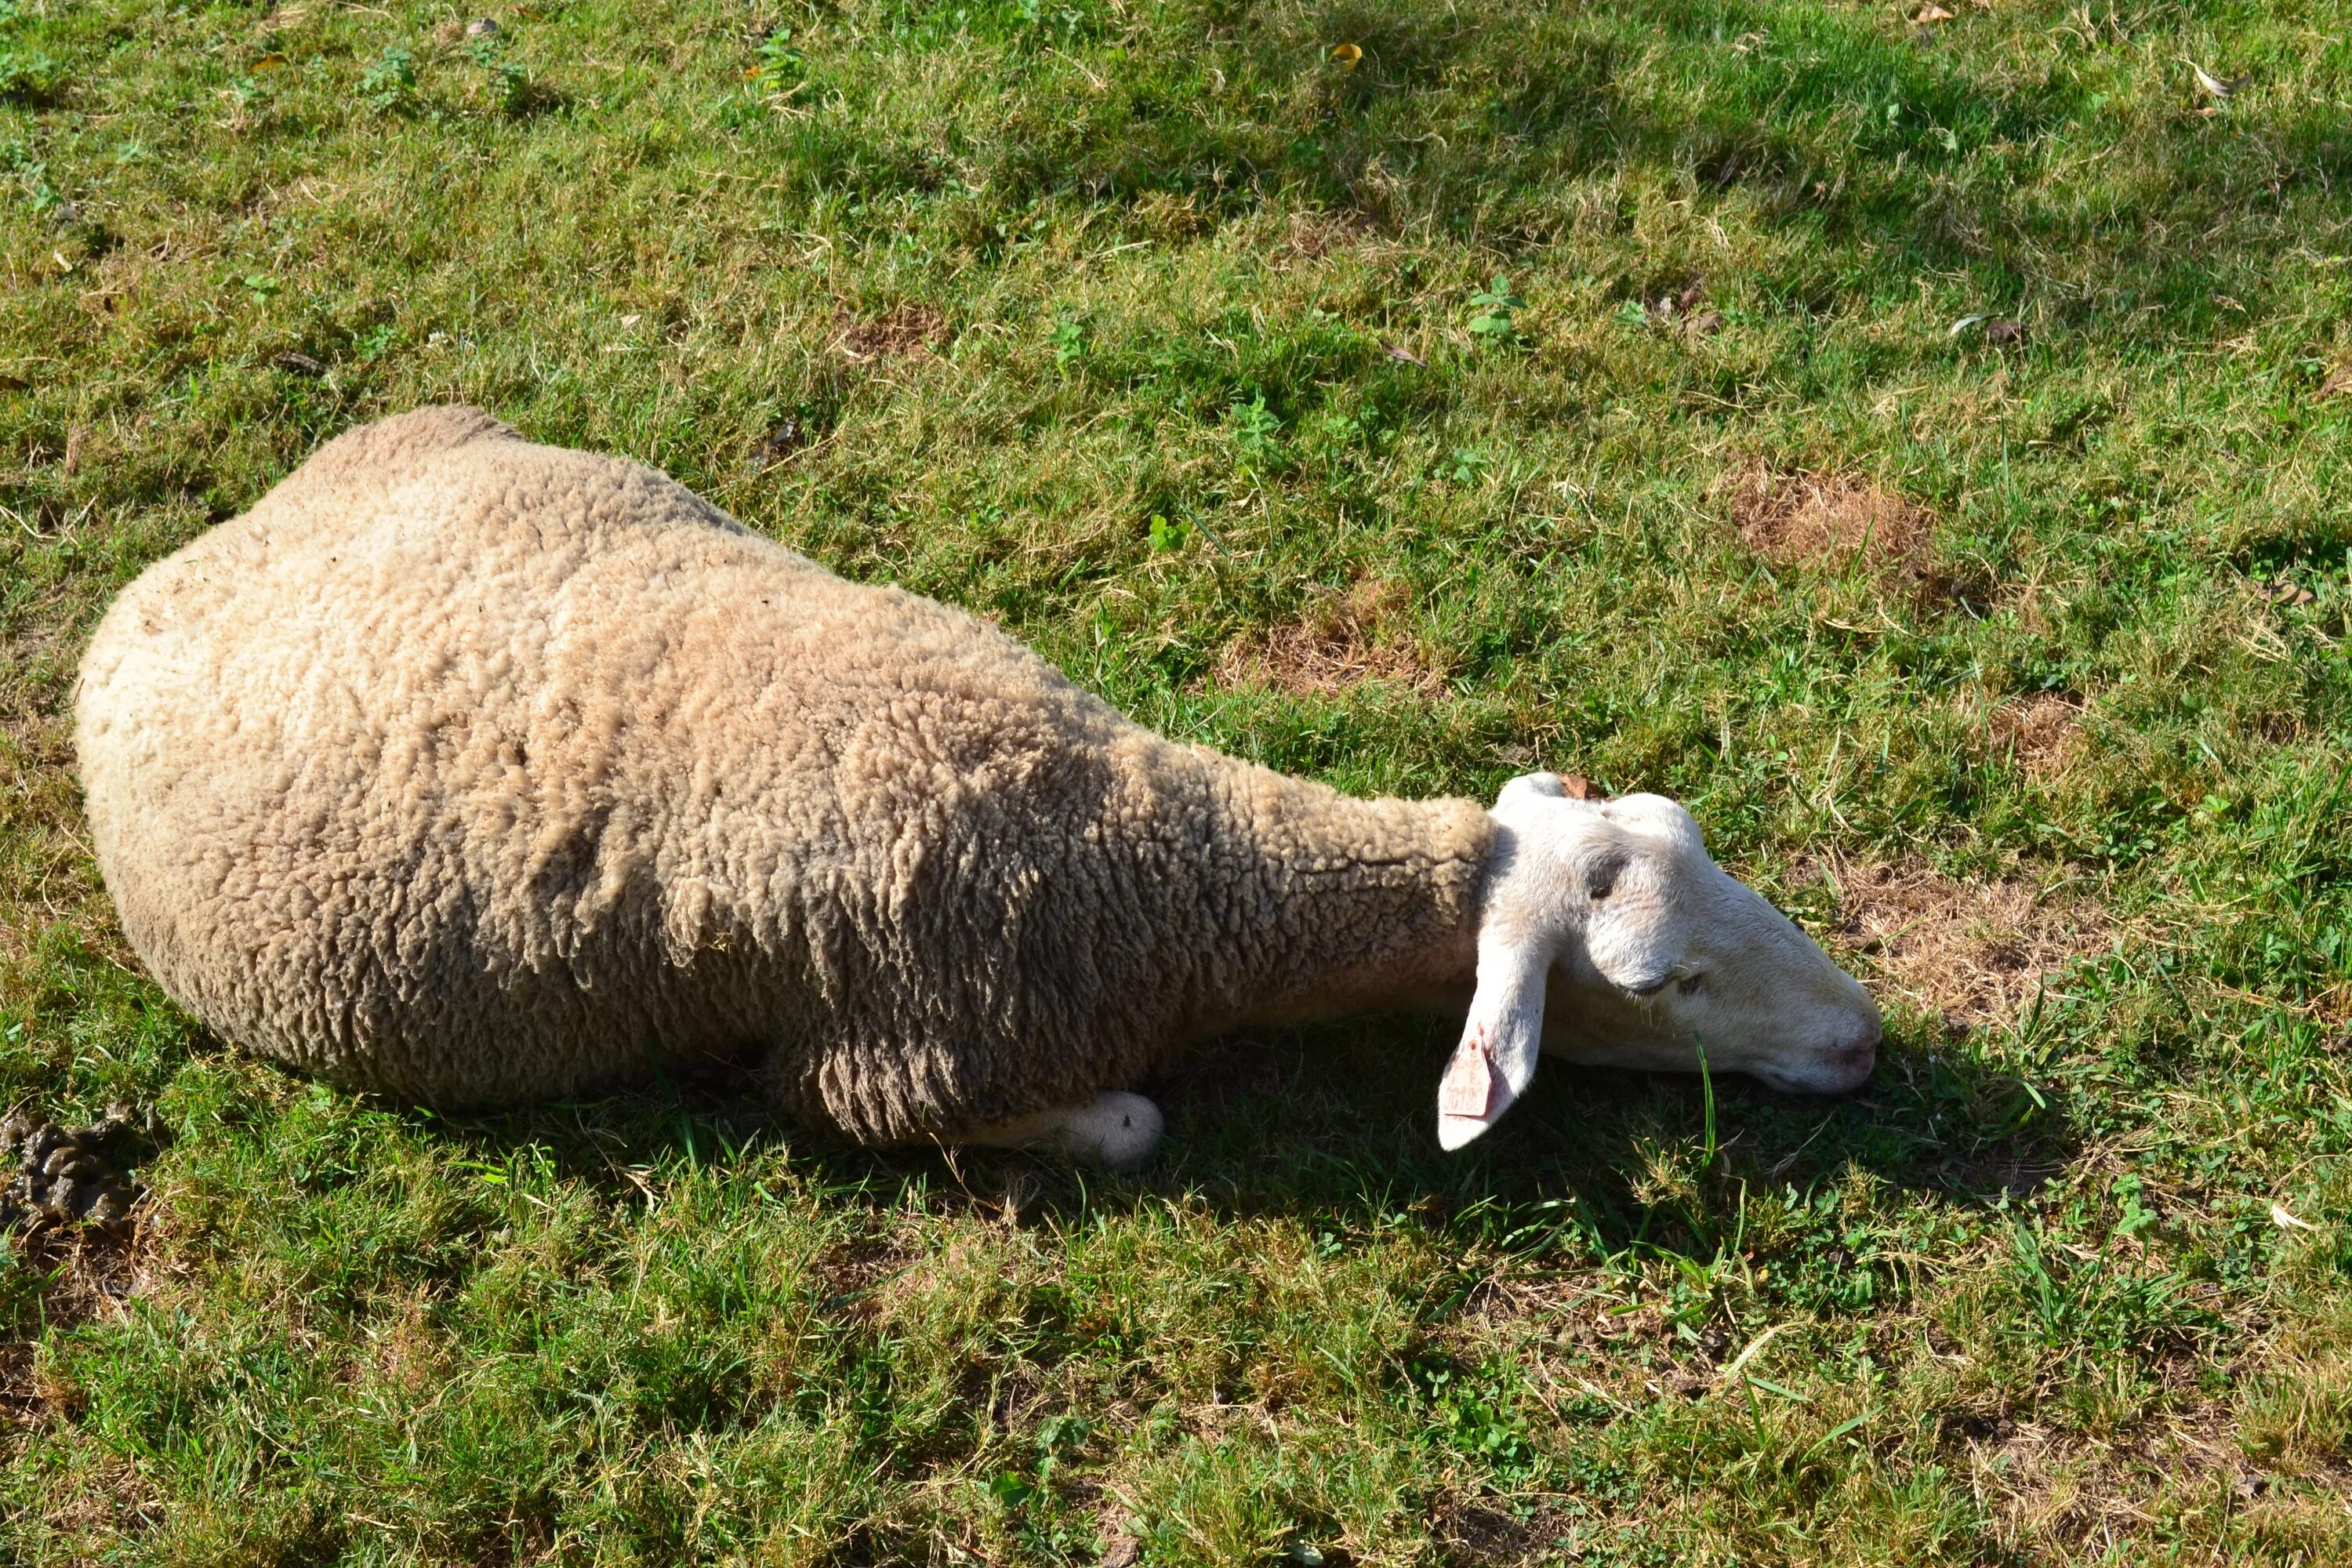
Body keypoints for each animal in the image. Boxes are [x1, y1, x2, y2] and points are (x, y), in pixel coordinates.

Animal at [73, 404, 1882, 1166]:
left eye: (1693, 836)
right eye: (1661, 980)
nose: (1866, 1042)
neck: (1156, 856)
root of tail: (206, 547)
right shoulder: (891, 1072)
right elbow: (1136, 1127)